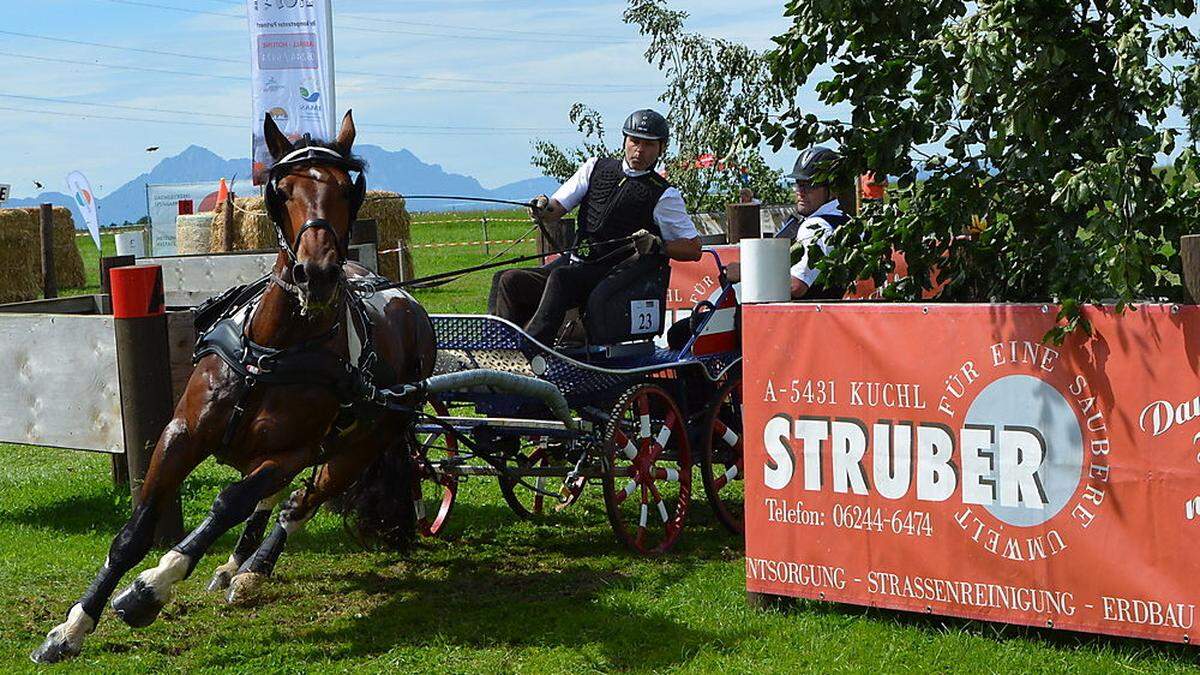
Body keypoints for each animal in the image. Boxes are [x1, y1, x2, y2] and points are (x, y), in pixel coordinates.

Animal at [30, 111, 439, 662]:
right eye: (282, 190)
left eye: (345, 189)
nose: (316, 274)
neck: (271, 351)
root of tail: (407, 301)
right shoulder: (181, 433)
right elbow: (134, 532)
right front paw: (72, 626)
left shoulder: (293, 452)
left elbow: (228, 504)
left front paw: (148, 589)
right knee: (276, 501)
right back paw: (234, 566)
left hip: (357, 446)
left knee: (297, 504)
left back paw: (254, 570)